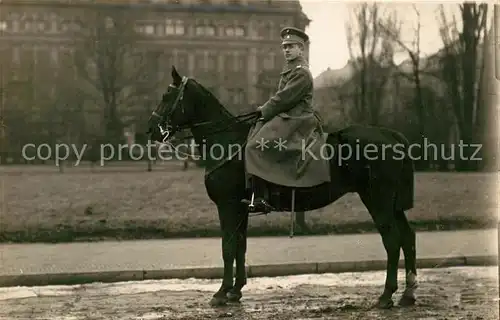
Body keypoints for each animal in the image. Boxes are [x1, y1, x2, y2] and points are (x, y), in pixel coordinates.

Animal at [147, 66, 418, 308]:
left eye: (167, 95)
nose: (150, 129)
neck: (227, 142)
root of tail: (392, 135)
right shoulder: (241, 210)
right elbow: (240, 246)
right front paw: (235, 290)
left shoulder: (228, 206)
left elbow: (227, 247)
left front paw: (222, 292)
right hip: (392, 204)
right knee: (408, 237)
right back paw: (408, 294)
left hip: (377, 199)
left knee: (392, 240)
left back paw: (386, 295)